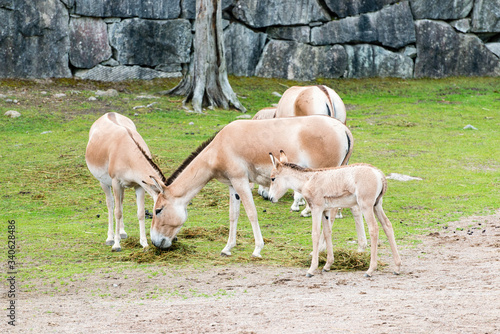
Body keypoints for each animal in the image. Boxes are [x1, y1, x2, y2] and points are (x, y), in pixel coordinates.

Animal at [84, 112, 166, 250]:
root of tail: (108, 113)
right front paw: (116, 245)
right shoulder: (116, 182)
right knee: (111, 204)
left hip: (122, 187)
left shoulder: (139, 185)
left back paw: (122, 233)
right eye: (158, 210)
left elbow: (140, 212)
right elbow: (117, 212)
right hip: (105, 183)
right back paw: (110, 238)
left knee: (121, 202)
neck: (127, 152)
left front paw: (144, 243)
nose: (173, 238)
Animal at [268, 151, 400, 276]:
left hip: (366, 206)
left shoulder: (316, 209)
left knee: (374, 229)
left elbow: (315, 234)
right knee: (387, 225)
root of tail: (378, 173)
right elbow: (327, 232)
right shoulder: (325, 211)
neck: (308, 180)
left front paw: (312, 269)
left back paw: (370, 270)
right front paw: (327, 265)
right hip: (376, 205)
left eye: (272, 178)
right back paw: (397, 267)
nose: (270, 198)